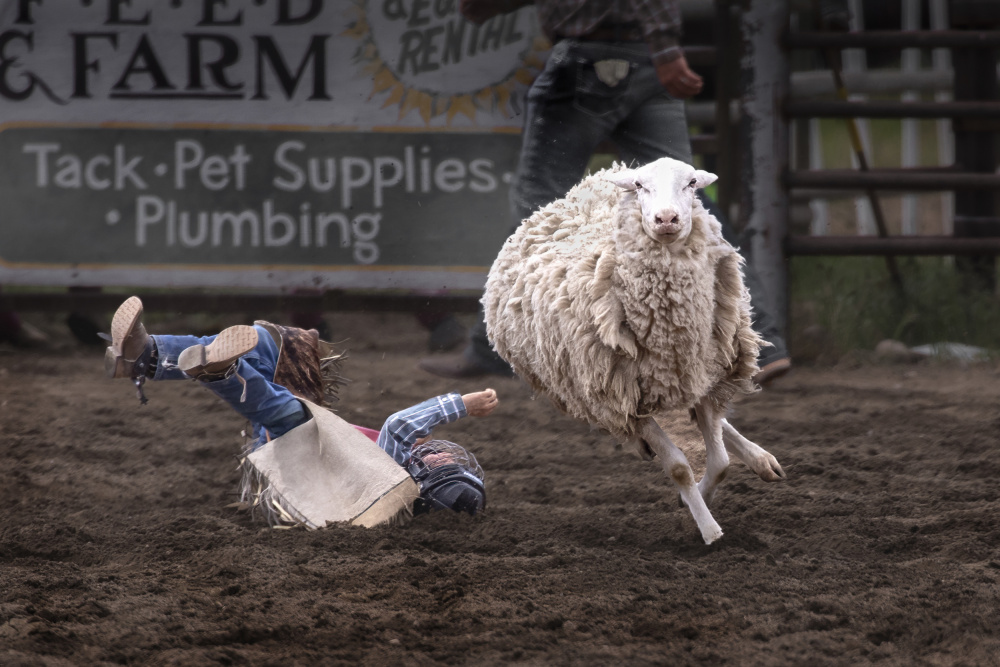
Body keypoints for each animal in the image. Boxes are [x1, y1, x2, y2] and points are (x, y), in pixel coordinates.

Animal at [480, 158, 784, 548]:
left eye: (691, 183)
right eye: (641, 186)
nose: (666, 218)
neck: (671, 324)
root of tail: (593, 182)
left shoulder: (701, 373)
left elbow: (719, 461)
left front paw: (698, 500)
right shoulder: (623, 397)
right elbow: (680, 467)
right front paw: (708, 528)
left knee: (716, 428)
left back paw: (761, 460)